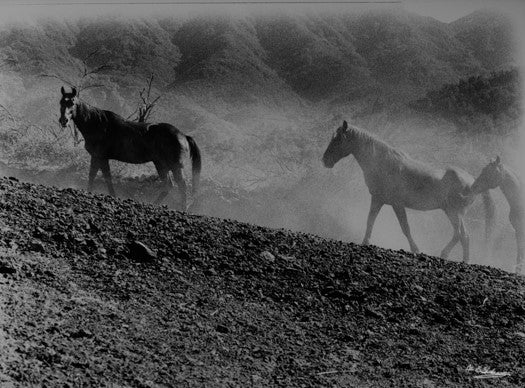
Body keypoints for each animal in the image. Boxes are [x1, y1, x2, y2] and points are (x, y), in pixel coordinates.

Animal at [59, 86, 201, 211]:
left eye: (72, 102)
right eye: (61, 102)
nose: (63, 121)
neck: (97, 124)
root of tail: (183, 135)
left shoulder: (98, 156)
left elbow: (95, 176)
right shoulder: (101, 158)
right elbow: (104, 177)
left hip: (175, 165)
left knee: (181, 185)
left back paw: (182, 208)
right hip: (161, 164)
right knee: (168, 185)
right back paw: (153, 204)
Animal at [320, 119, 496, 262]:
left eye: (338, 139)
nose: (325, 160)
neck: (382, 163)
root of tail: (473, 180)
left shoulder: (397, 204)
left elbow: (405, 228)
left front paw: (416, 249)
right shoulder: (377, 199)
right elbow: (370, 221)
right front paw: (365, 242)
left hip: (454, 212)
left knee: (460, 234)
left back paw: (448, 255)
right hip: (453, 212)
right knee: (463, 236)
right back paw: (462, 259)